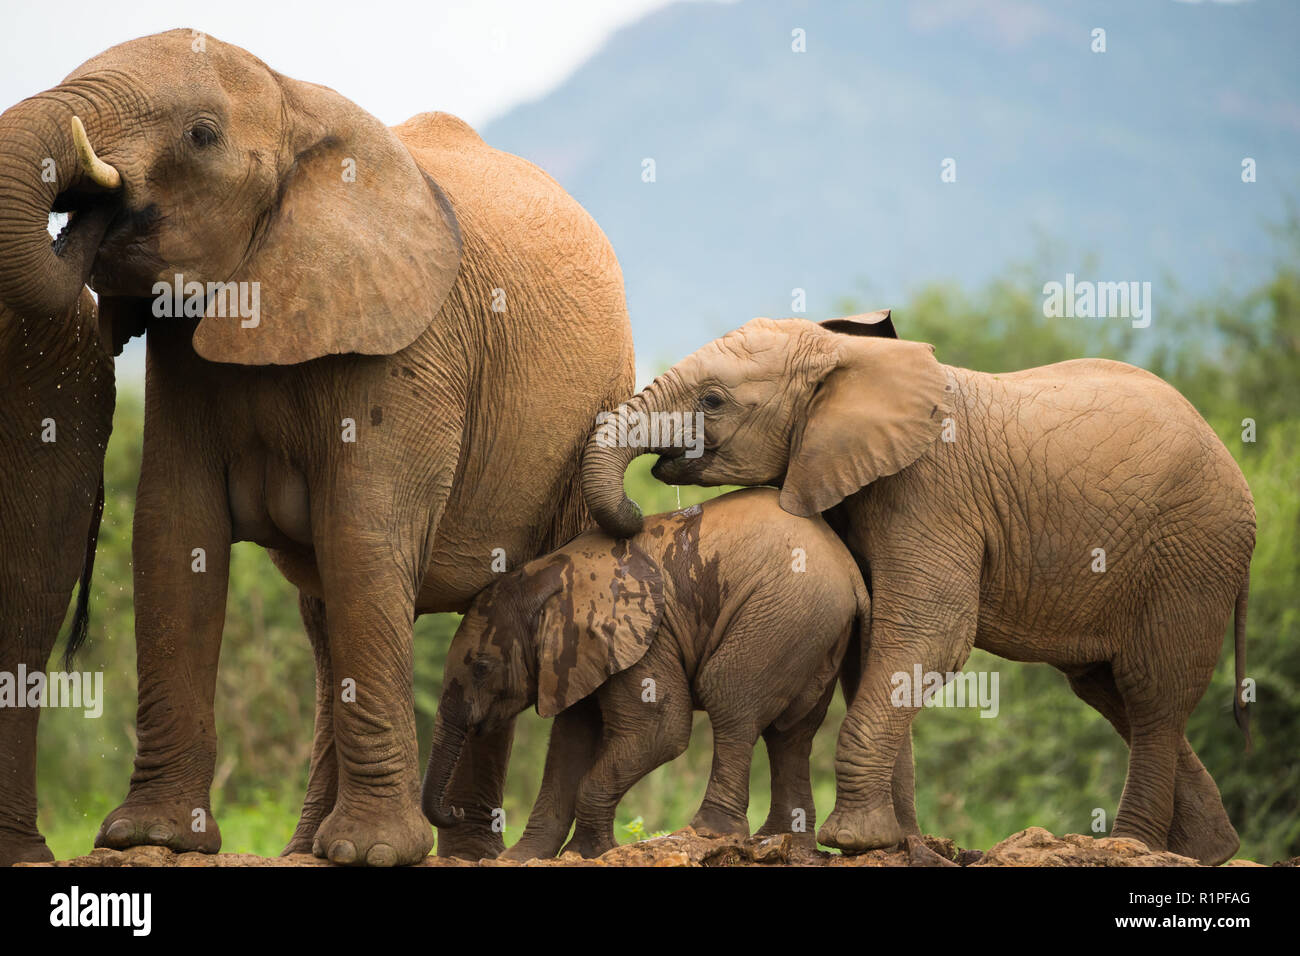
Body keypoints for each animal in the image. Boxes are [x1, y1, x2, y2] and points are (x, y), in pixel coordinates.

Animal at [0, 29, 634, 868]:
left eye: (201, 135)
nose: (89, 217)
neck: (293, 100)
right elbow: (175, 533)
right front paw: (154, 837)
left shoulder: (406, 347)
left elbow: (361, 538)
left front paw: (376, 854)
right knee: (327, 619)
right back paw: (312, 846)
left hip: (591, 419)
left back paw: (456, 853)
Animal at [426, 486, 915, 858]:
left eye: (482, 667)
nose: (453, 812)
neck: (552, 573)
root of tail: (854, 575)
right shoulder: (578, 655)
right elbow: (570, 740)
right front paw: (523, 858)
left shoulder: (646, 636)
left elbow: (660, 731)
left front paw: (587, 852)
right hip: (817, 632)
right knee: (791, 734)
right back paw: (781, 841)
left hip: (783, 617)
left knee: (730, 700)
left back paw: (707, 833)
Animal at [579, 314, 1248, 868]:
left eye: (713, 400)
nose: (636, 516)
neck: (845, 355)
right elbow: (874, 646)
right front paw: (897, 841)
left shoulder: (929, 491)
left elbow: (928, 636)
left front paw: (854, 839)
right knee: (1107, 689)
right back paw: (1207, 850)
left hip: (1192, 554)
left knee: (1152, 690)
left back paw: (1133, 846)